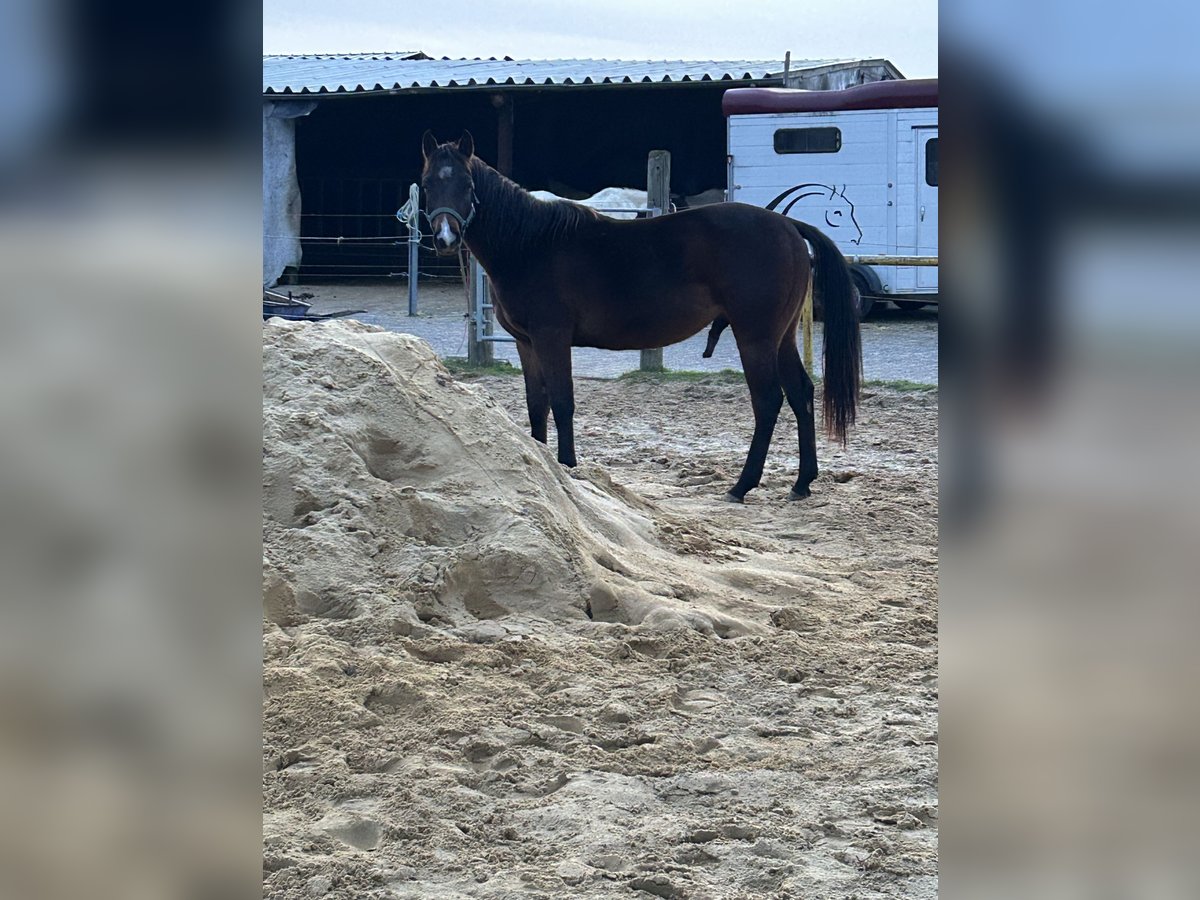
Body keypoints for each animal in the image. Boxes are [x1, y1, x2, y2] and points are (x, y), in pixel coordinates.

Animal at [420, 130, 861, 502]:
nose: (445, 238)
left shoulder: (551, 337)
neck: (530, 245)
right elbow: (536, 405)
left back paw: (742, 485)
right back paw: (802, 482)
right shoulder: (526, 343)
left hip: (755, 337)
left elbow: (562, 401)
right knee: (801, 393)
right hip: (781, 336)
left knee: (768, 401)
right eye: (426, 185)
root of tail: (787, 224)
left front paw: (568, 467)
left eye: (467, 185)